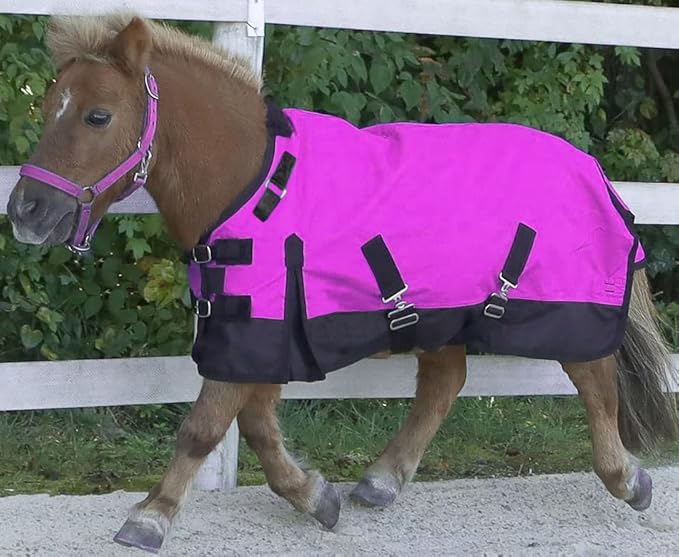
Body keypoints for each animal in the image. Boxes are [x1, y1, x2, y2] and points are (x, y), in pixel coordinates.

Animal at [6, 14, 678, 554]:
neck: (255, 184)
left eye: (98, 115)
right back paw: (381, 481)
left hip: (567, 308)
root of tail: (591, 168)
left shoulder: (255, 331)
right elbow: (256, 428)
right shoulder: (260, 333)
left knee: (595, 381)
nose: (25, 210)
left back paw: (629, 480)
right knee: (444, 385)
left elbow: (204, 427)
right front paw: (314, 496)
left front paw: (151, 517)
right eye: (47, 107)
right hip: (441, 314)